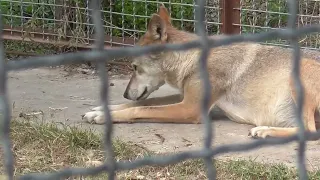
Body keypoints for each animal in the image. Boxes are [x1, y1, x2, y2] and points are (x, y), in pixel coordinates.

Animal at [82, 4, 320, 139]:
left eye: (134, 67)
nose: (124, 93)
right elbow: (142, 102)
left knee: (310, 132)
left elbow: (141, 109)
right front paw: (101, 109)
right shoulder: (185, 97)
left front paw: (103, 117)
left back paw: (264, 131)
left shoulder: (190, 108)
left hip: (301, 72)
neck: (191, 59)